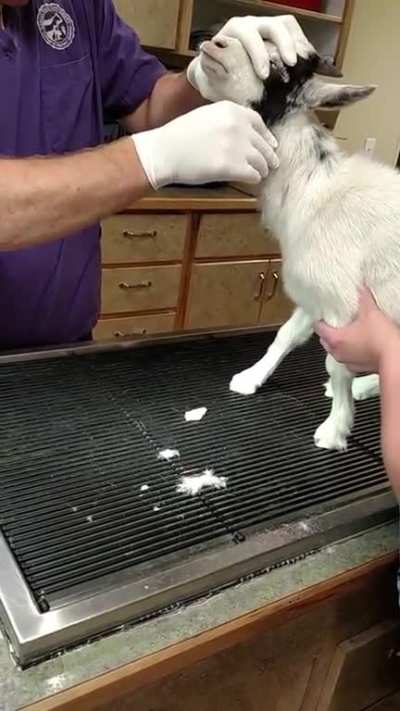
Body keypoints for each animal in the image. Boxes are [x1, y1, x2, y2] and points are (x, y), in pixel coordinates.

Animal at [196, 34, 395, 452]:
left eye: (279, 70)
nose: (215, 44)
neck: (313, 184)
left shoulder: (343, 306)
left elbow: (336, 364)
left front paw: (334, 430)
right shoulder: (313, 293)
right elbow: (285, 336)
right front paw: (249, 379)